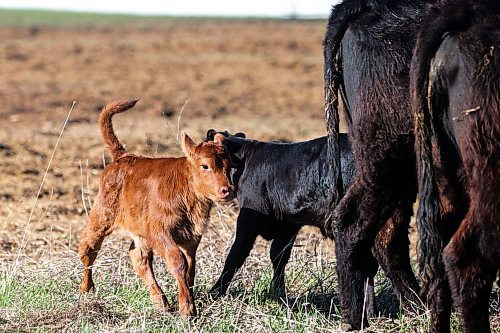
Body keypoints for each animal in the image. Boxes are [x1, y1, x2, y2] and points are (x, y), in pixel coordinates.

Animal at [78, 99, 234, 316]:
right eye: (205, 166)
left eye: (230, 165)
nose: (227, 190)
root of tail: (124, 157)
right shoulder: (160, 231)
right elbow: (178, 261)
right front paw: (187, 310)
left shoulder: (192, 236)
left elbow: (190, 268)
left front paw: (188, 304)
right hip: (102, 215)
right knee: (88, 247)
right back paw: (86, 289)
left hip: (139, 231)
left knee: (139, 257)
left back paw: (161, 302)